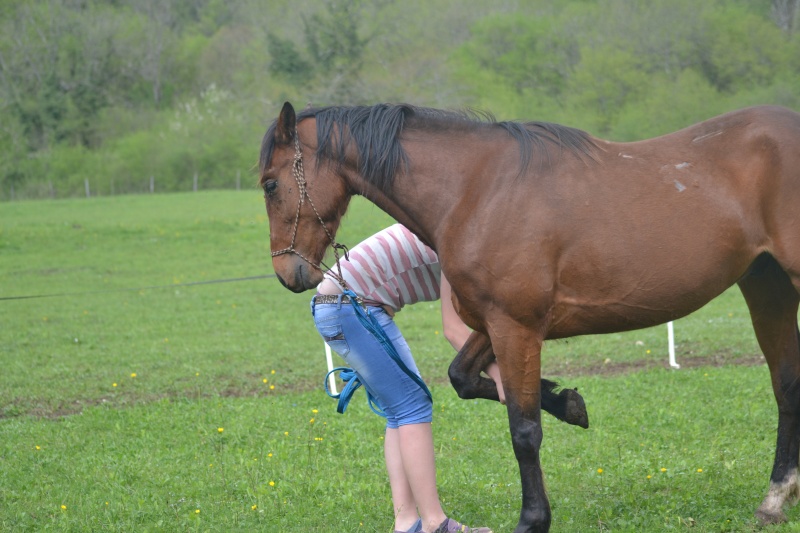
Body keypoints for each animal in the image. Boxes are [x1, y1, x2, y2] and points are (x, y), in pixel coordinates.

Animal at [260, 101, 800, 532]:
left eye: (269, 183)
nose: (288, 273)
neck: (476, 190)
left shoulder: (515, 327)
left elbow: (523, 431)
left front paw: (533, 518)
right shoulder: (494, 323)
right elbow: (464, 377)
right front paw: (567, 402)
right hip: (766, 285)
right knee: (786, 386)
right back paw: (776, 498)